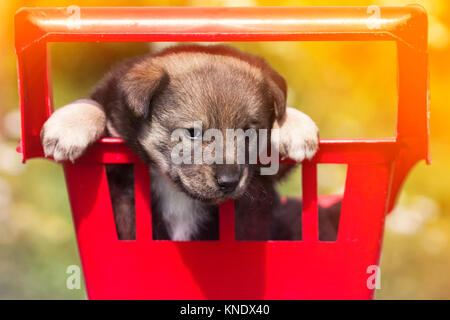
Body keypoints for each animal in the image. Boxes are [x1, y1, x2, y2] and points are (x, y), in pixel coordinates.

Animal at [42, 44, 338, 240]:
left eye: (248, 133)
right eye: (193, 132)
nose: (229, 181)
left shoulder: (263, 180)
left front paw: (294, 125)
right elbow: (95, 104)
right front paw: (69, 123)